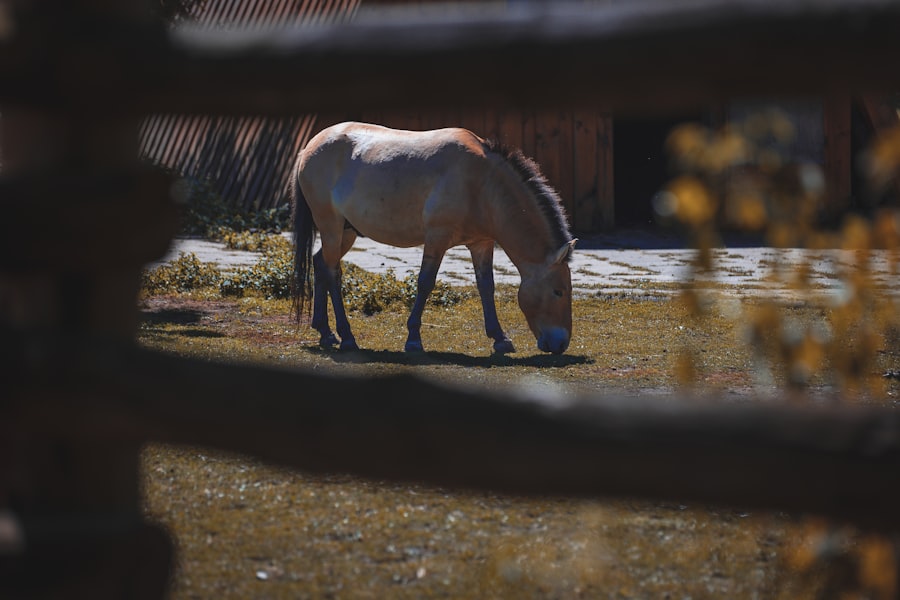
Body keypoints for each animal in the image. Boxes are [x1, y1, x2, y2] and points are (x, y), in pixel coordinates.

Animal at [290, 121, 577, 355]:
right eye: (558, 291)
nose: (561, 344)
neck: (482, 184)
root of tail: (308, 148)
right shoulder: (437, 239)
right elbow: (425, 283)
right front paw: (414, 340)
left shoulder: (481, 244)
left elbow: (486, 286)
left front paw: (500, 339)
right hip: (331, 226)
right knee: (332, 273)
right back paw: (347, 336)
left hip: (346, 232)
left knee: (320, 264)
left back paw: (326, 334)